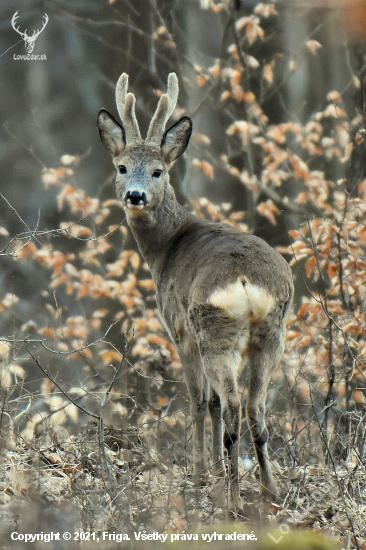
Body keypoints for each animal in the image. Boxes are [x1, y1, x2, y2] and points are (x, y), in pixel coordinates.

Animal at [97, 72, 294, 512]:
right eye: (121, 167)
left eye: (158, 171)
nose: (135, 195)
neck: (166, 248)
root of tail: (246, 283)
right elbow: (216, 402)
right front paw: (216, 472)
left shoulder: (178, 328)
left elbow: (201, 400)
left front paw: (203, 473)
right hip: (272, 332)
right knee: (254, 406)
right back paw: (269, 490)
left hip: (213, 327)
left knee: (232, 402)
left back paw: (233, 497)